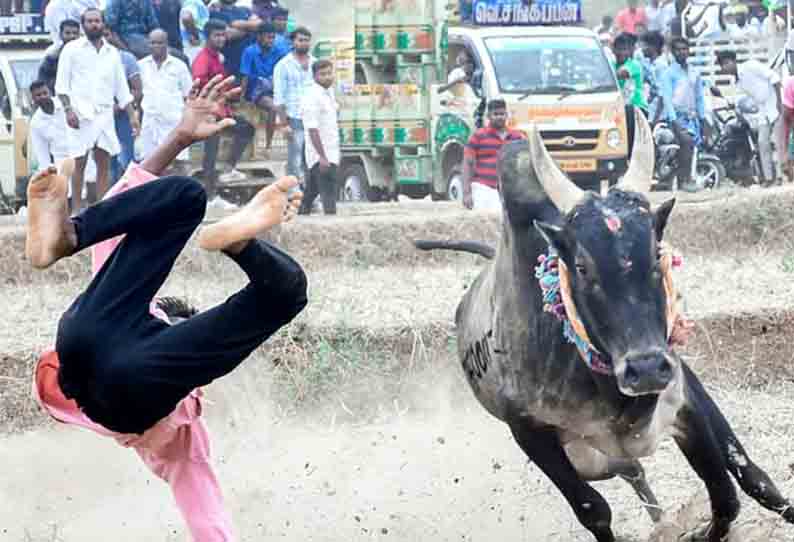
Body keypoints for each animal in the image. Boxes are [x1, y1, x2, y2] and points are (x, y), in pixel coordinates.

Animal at [414, 112, 792, 540]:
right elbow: (593, 509)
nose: (646, 369)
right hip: (589, 458)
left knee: (730, 472)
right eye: (581, 266)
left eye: (655, 253)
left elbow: (730, 488)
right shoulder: (529, 432)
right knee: (632, 470)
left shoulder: (684, 398)